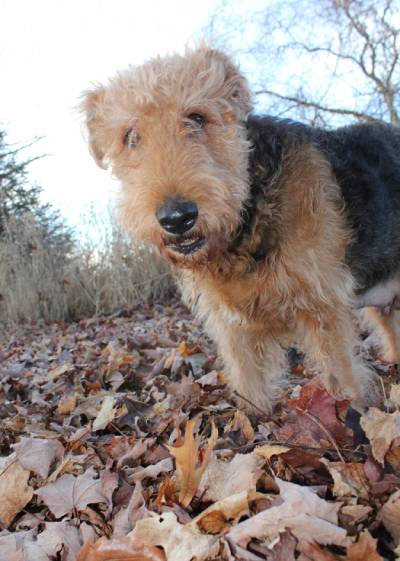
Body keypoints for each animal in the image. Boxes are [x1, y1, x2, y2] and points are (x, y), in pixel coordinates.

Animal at [80, 46, 400, 412]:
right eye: (130, 137)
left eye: (197, 118)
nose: (177, 218)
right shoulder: (233, 327)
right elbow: (250, 388)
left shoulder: (322, 306)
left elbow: (342, 380)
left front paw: (351, 415)